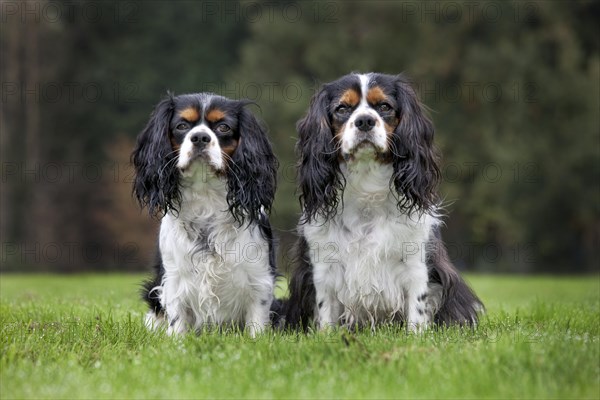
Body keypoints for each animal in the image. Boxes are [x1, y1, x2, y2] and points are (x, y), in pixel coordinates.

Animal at [132, 92, 278, 336]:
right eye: (182, 126)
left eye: (223, 127)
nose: (200, 137)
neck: (206, 196)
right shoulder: (175, 279)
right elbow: (177, 319)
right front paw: (177, 342)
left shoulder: (259, 279)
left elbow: (256, 321)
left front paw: (256, 340)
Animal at [284, 72, 486, 332]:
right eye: (342, 109)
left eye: (384, 106)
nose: (365, 121)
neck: (366, 184)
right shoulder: (323, 267)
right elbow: (325, 311)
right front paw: (326, 336)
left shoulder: (416, 263)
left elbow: (417, 308)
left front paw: (416, 337)